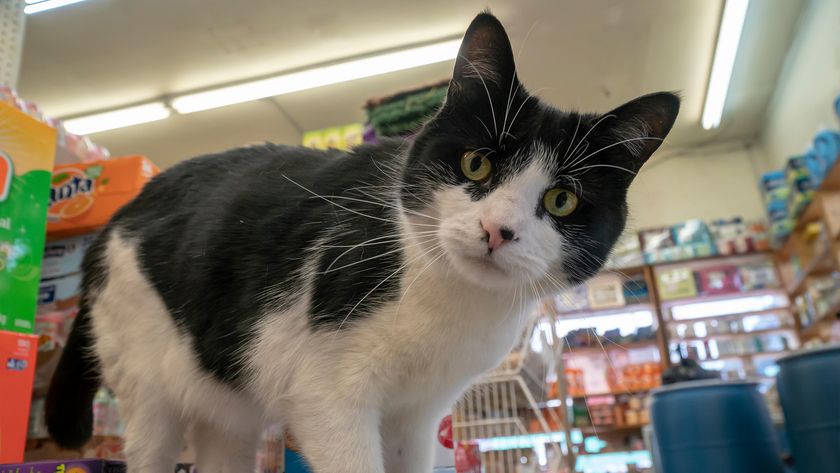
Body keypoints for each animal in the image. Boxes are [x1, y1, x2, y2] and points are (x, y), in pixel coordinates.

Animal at [44, 10, 676, 472]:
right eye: (476, 164)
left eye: (562, 201)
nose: (497, 230)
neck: (449, 306)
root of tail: (124, 209)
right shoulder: (328, 398)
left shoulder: (418, 417)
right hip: (144, 377)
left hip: (225, 396)